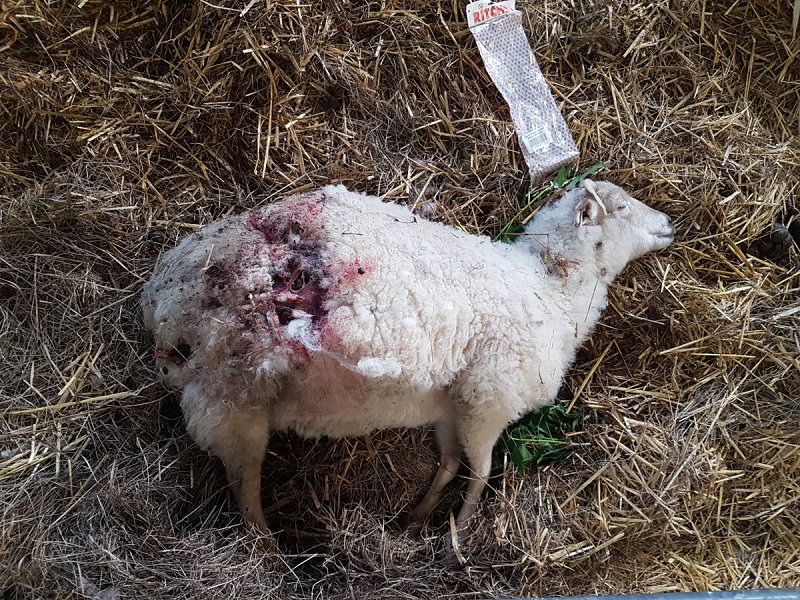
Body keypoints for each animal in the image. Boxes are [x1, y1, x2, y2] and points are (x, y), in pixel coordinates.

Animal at [140, 179, 674, 539]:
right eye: (621, 207)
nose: (669, 224)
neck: (553, 286)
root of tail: (167, 296)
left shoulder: (454, 405)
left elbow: (451, 463)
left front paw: (420, 518)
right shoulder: (491, 397)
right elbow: (480, 471)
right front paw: (459, 535)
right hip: (231, 401)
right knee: (244, 490)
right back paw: (267, 549)